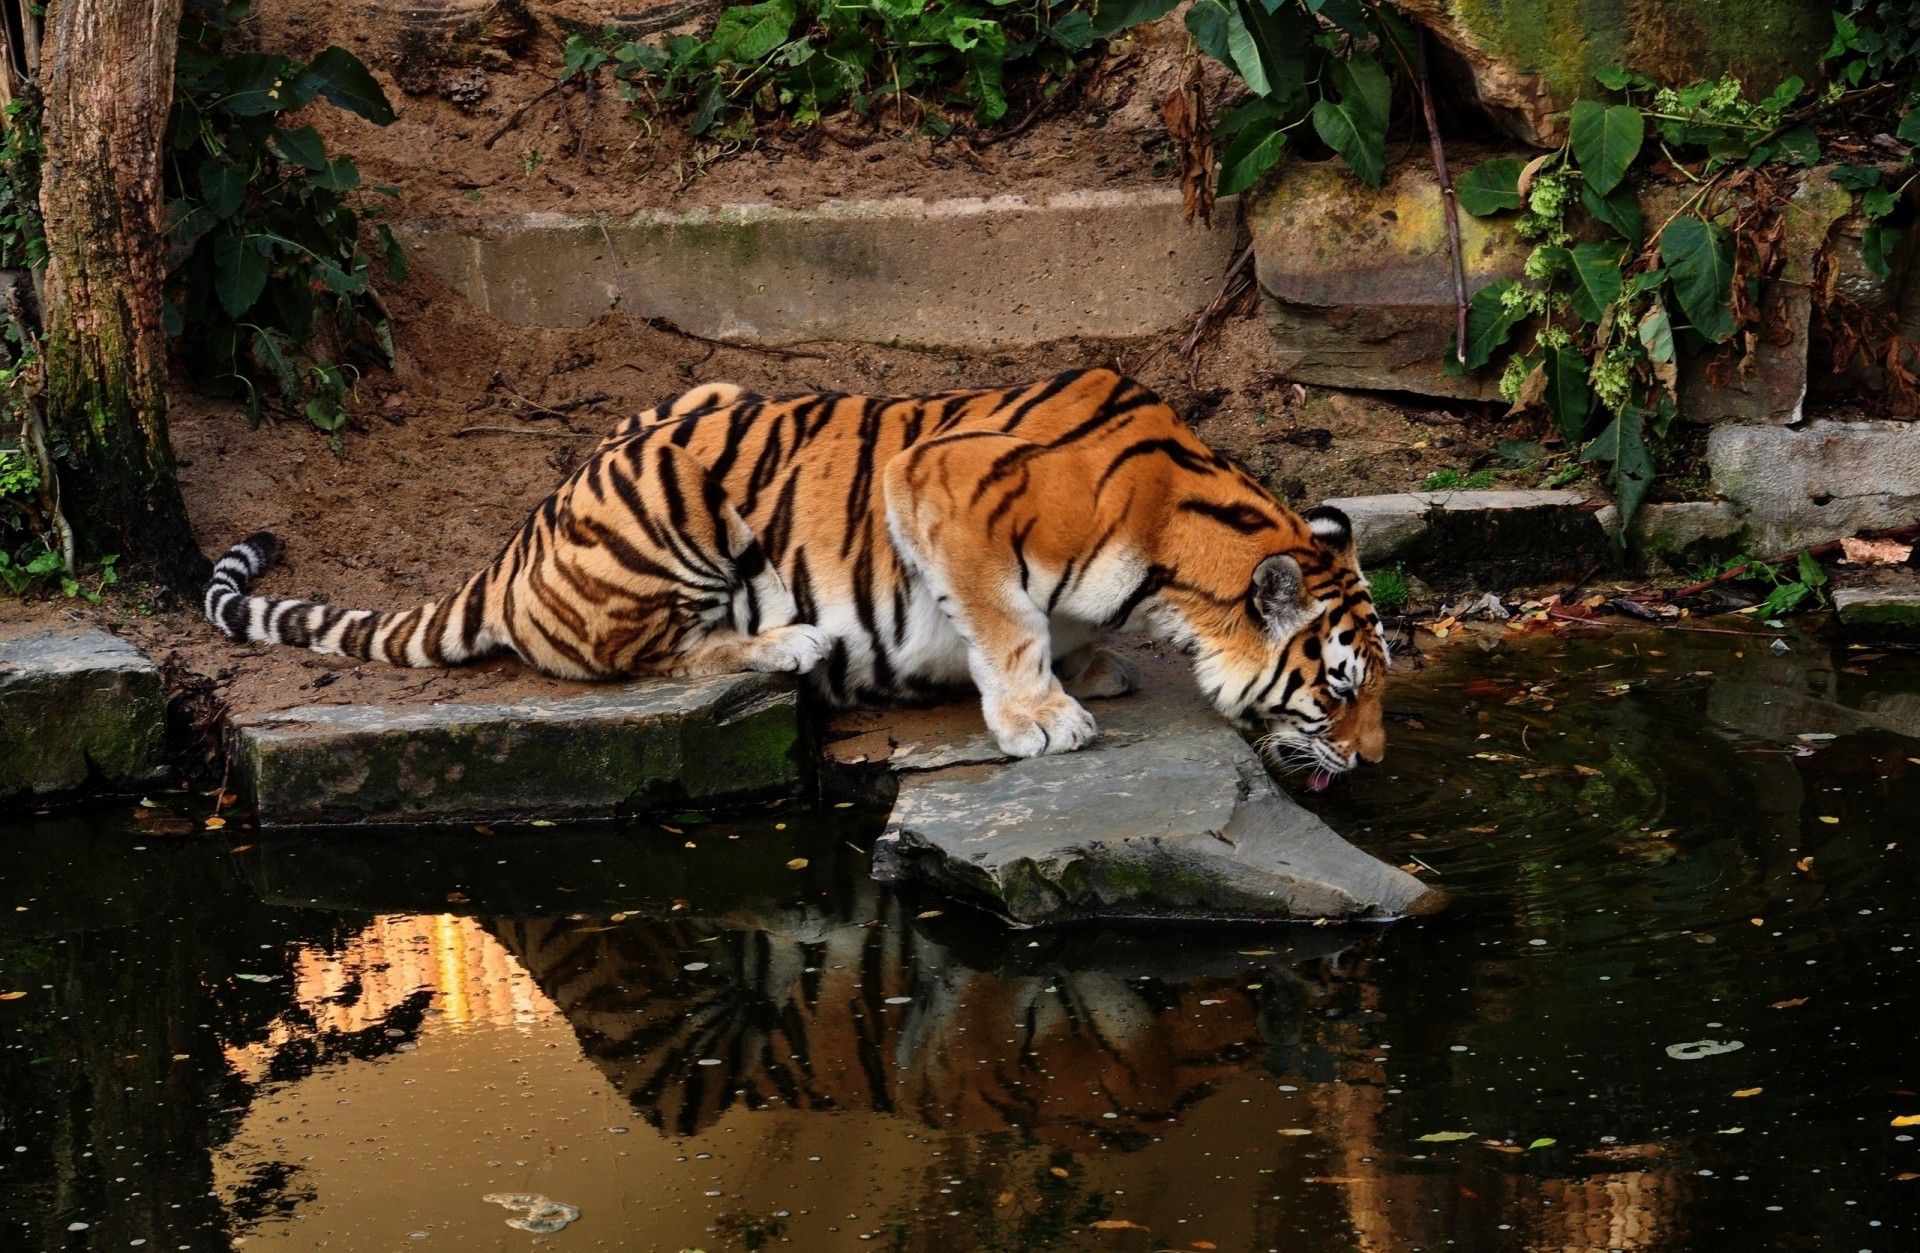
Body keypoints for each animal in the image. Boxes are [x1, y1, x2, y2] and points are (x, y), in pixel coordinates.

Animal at [205, 368, 1388, 781]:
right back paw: (791, 641)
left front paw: (1089, 668)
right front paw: (1042, 715)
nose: (1374, 763)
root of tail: (517, 543)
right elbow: (1006, 620)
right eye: (1337, 691)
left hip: (698, 397)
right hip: (675, 492)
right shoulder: (942, 484)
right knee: (636, 659)